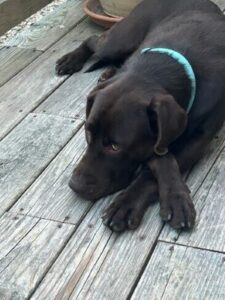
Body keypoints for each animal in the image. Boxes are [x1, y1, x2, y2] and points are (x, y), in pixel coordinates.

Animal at [55, 0, 225, 232]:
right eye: (88, 134)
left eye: (115, 146)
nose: (75, 185)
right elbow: (161, 157)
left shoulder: (197, 140)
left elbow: (157, 161)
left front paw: (127, 203)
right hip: (119, 41)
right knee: (94, 41)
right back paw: (72, 60)